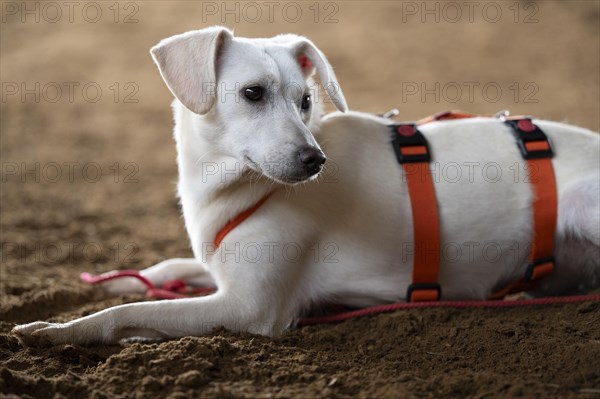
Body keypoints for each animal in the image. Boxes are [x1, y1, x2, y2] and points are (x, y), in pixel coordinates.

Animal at [11, 27, 596, 346]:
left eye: (306, 100)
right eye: (253, 92)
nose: (315, 160)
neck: (235, 188)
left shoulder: (247, 307)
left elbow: (130, 316)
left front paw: (59, 331)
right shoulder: (223, 271)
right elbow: (163, 271)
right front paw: (107, 284)